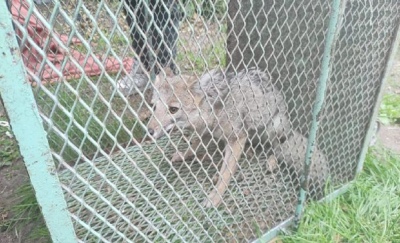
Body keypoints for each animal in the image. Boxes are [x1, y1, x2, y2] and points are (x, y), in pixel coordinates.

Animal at [147, 68, 328, 207]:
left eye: (173, 109)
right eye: (153, 106)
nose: (148, 131)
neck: (215, 107)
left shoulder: (237, 138)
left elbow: (226, 173)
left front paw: (215, 197)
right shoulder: (208, 132)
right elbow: (195, 144)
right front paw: (184, 155)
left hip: (273, 127)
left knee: (276, 148)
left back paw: (271, 161)